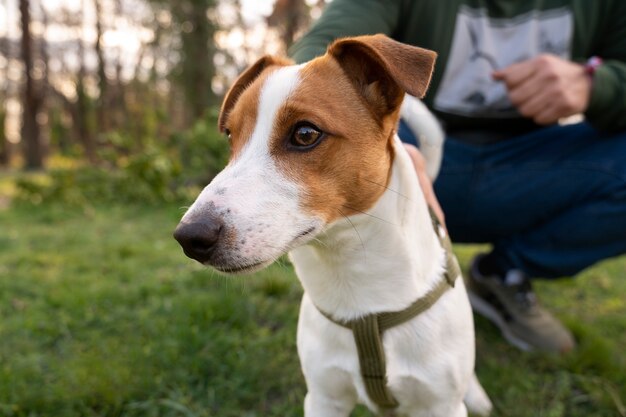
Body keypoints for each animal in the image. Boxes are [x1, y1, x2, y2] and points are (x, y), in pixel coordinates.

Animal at [173, 34, 490, 414]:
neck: (358, 295)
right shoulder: (324, 397)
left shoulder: (439, 405)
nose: (189, 236)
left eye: (305, 133)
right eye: (231, 136)